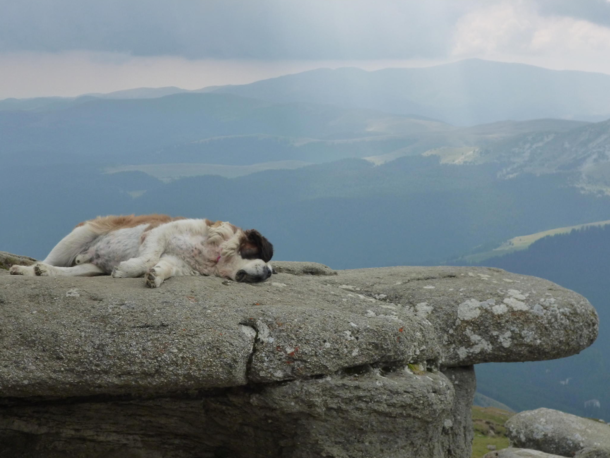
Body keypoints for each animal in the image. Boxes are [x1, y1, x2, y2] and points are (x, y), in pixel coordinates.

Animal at [9, 214, 274, 286]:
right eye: (258, 253)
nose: (269, 272)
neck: (214, 254)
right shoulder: (159, 232)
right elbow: (149, 257)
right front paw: (128, 269)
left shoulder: (178, 262)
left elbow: (165, 266)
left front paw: (155, 276)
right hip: (78, 236)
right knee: (47, 259)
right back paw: (27, 269)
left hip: (89, 267)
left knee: (66, 271)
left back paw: (44, 272)